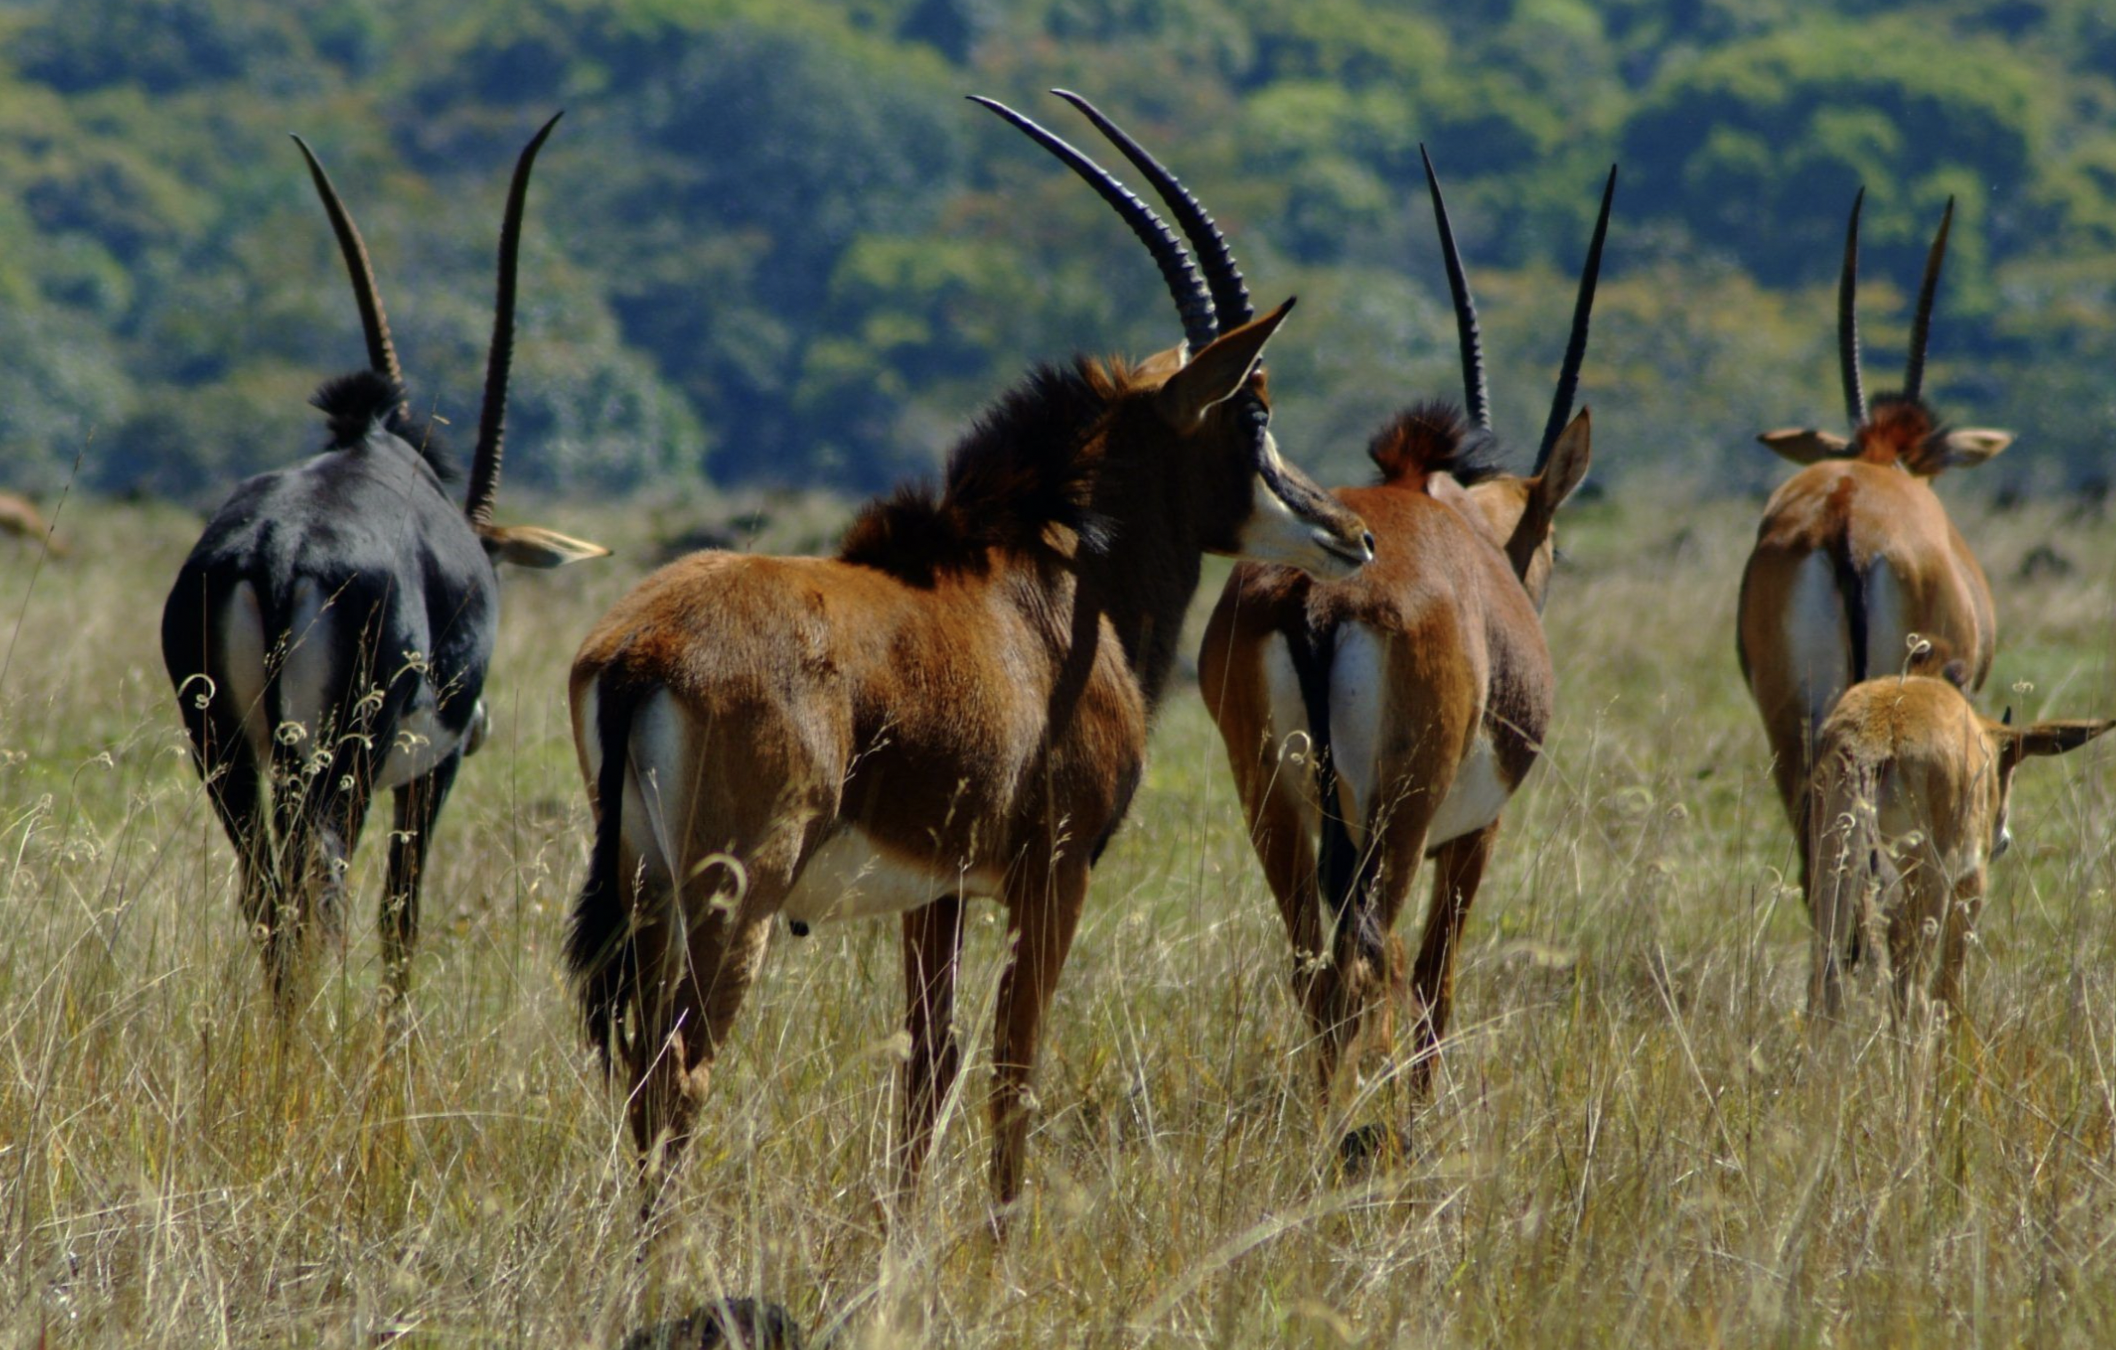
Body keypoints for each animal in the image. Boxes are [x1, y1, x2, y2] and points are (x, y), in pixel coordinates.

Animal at [160, 119, 609, 1007]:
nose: (483, 726)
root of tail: (276, 550)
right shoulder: (431, 772)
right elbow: (401, 917)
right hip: (345, 760)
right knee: (324, 890)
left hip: (226, 750)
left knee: (267, 892)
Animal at [1201, 148, 1608, 1100]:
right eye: (1555, 544)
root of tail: (1317, 595)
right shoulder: (1472, 838)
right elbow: (1437, 982)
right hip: (1399, 813)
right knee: (1375, 967)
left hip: (1271, 799)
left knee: (1312, 967)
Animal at [1802, 681, 2116, 1019]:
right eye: (2010, 774)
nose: (2002, 841)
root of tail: (1873, 739)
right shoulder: (1971, 880)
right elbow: (1950, 980)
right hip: (1929, 883)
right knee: (1914, 989)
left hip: (1837, 873)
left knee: (1826, 979)